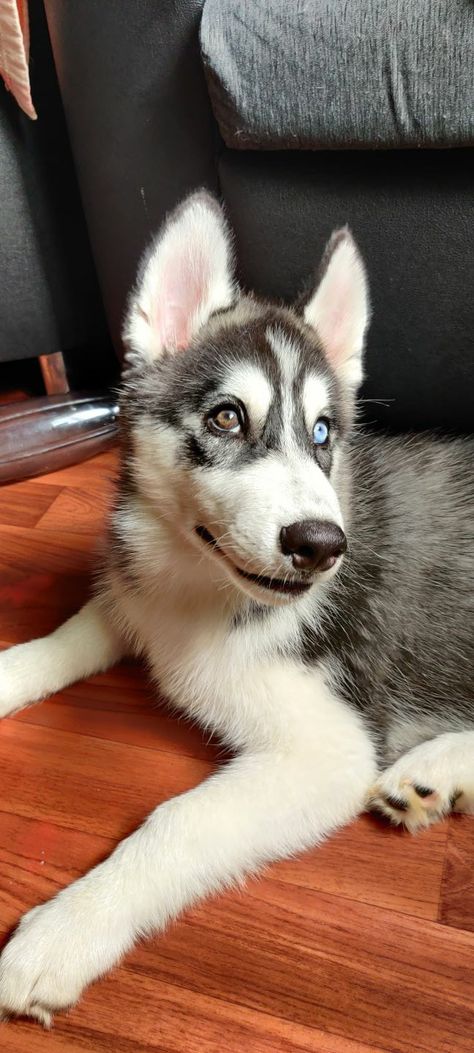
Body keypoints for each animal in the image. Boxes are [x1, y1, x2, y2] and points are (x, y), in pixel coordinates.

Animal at [0, 193, 473, 1023]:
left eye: (323, 433)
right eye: (225, 418)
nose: (322, 545)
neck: (200, 580)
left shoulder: (327, 749)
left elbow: (178, 818)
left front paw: (67, 927)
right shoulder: (138, 596)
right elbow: (63, 636)